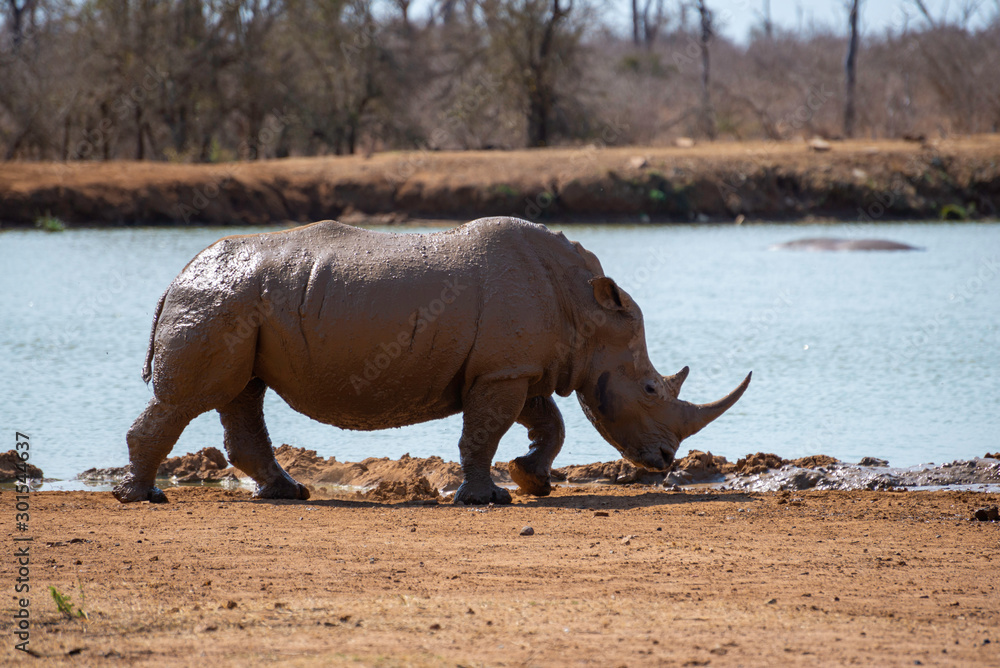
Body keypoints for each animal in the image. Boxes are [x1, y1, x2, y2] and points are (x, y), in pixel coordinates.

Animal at [113, 217, 750, 505]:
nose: (666, 463)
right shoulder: (502, 372)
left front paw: (532, 482)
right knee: (190, 398)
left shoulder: (517, 367)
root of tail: (178, 276)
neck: (584, 308)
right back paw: (143, 497)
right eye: (650, 390)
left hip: (242, 306)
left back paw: (285, 493)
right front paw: (487, 499)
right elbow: (486, 431)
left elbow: (549, 424)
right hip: (218, 301)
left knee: (243, 393)